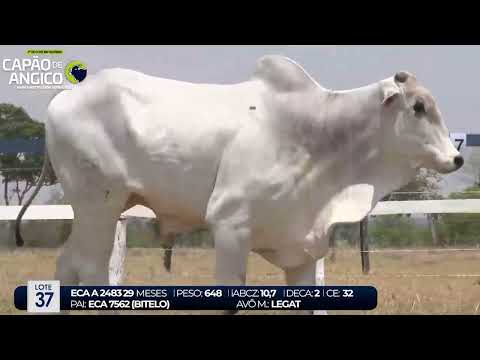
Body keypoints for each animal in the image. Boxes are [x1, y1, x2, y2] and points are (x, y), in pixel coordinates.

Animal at [16, 54, 464, 314]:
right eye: (418, 107)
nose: (457, 157)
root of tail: (65, 95)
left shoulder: (303, 245)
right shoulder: (231, 226)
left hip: (96, 210)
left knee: (67, 264)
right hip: (100, 206)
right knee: (90, 269)